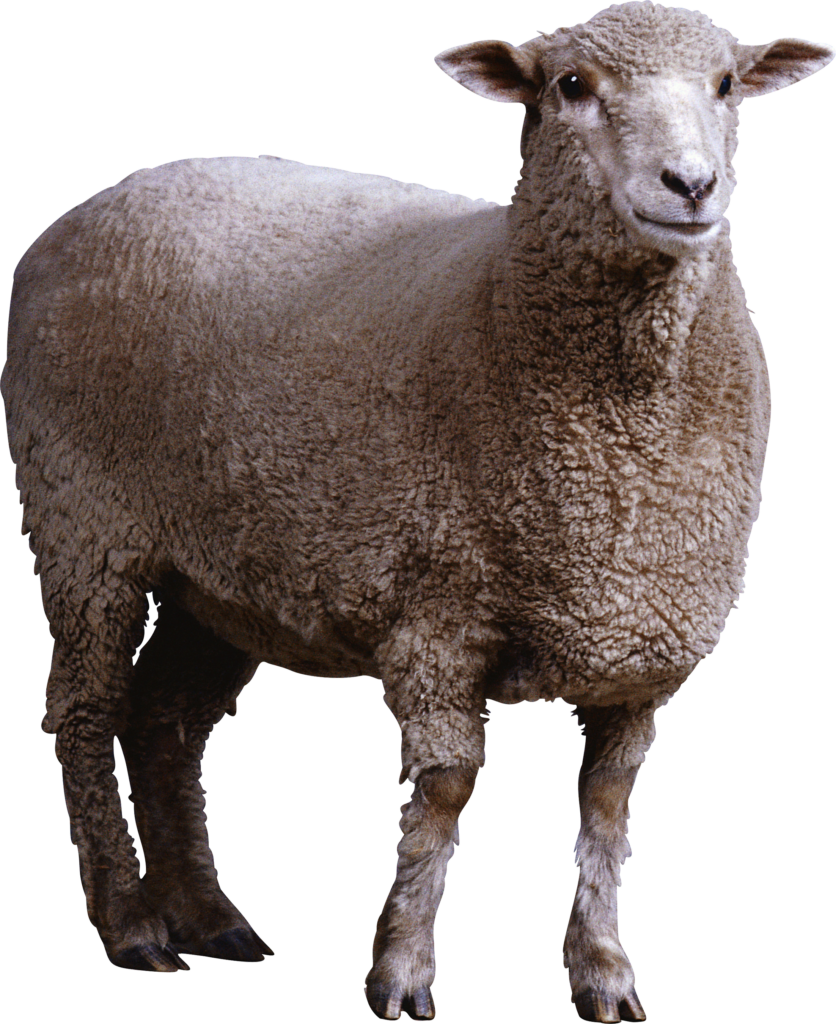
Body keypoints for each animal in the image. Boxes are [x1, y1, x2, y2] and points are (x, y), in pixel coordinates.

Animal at [2, 1, 833, 1019]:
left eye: (726, 85)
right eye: (570, 86)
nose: (691, 184)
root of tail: (88, 207)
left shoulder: (639, 646)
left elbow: (607, 807)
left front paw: (604, 972)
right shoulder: (440, 615)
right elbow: (445, 792)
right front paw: (401, 971)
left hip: (223, 571)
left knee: (166, 724)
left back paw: (212, 920)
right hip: (83, 525)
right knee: (87, 713)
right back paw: (132, 927)